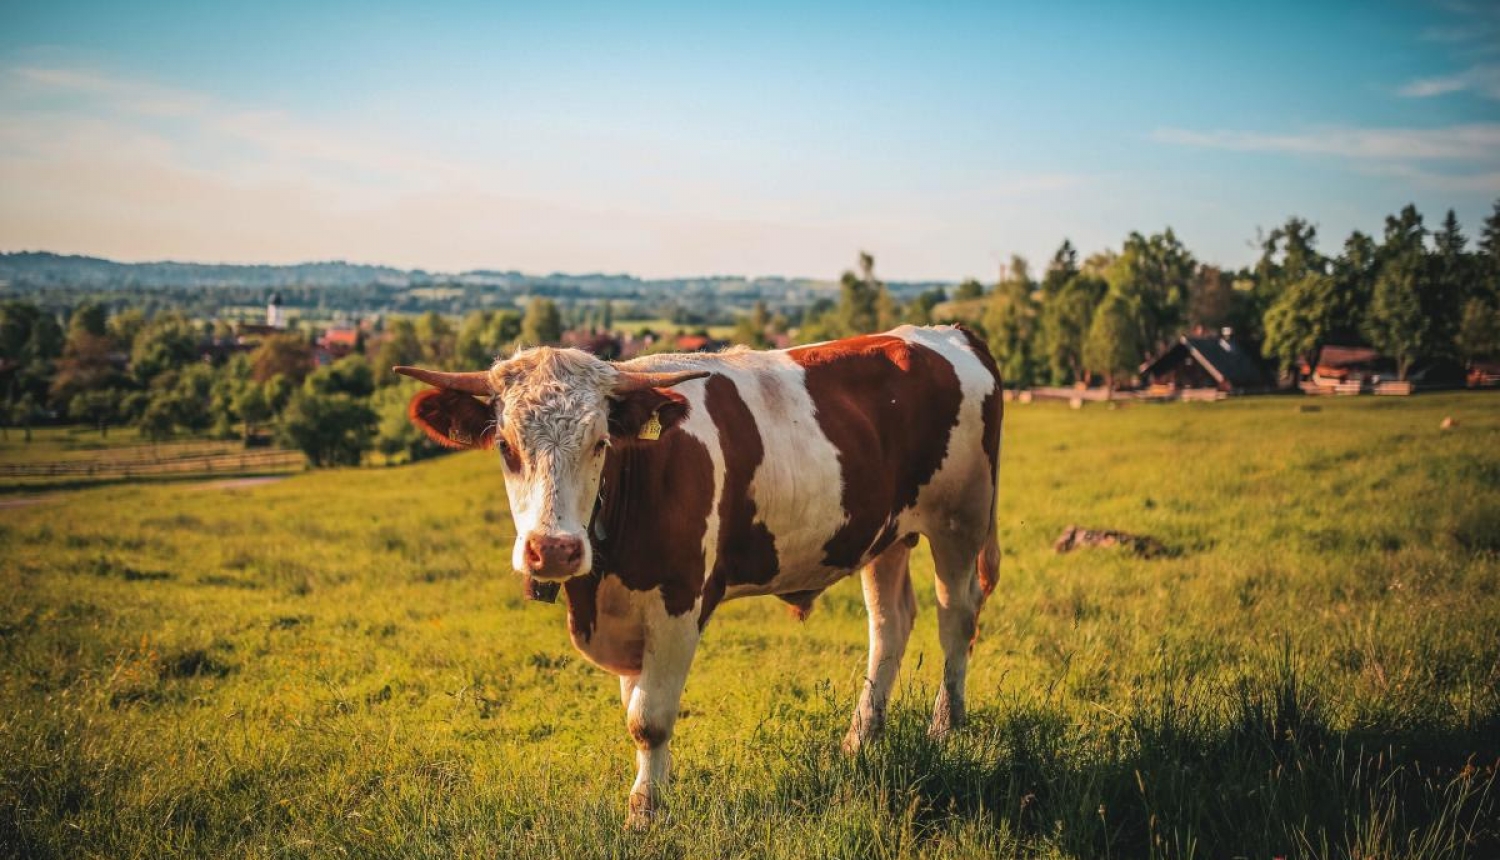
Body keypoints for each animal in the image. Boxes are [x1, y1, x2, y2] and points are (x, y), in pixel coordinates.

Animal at [399, 321, 1008, 822]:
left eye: (600, 443)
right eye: (505, 446)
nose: (553, 549)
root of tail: (946, 332)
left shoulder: (678, 602)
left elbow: (649, 719)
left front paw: (646, 813)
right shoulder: (629, 619)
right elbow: (636, 706)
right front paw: (652, 793)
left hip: (961, 518)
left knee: (956, 618)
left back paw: (946, 726)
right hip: (886, 535)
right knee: (890, 624)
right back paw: (861, 739)